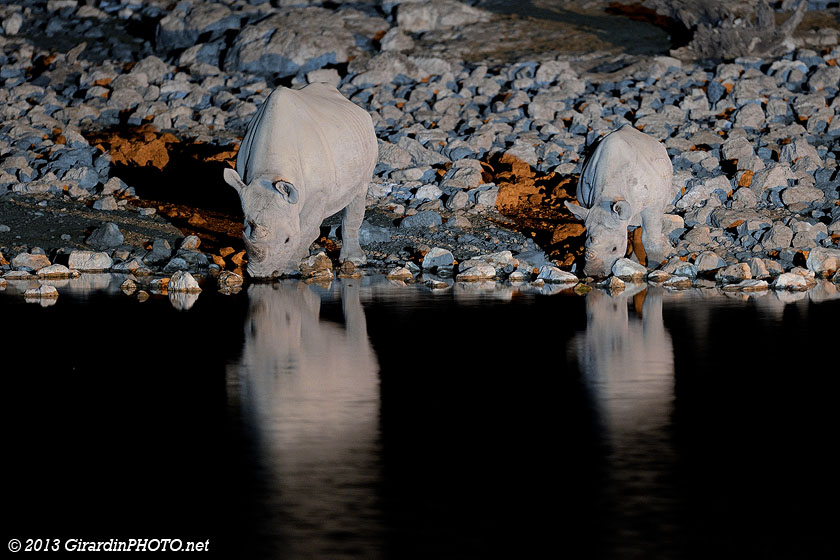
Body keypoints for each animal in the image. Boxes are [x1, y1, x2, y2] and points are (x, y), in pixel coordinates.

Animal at [223, 82, 378, 278]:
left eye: (287, 240)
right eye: (245, 232)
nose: (260, 275)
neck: (269, 172)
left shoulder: (318, 193)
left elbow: (305, 231)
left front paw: (290, 269)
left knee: (358, 193)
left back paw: (354, 261)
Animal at [565, 124, 675, 278]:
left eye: (614, 249)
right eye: (585, 245)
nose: (594, 274)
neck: (607, 195)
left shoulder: (652, 205)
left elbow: (650, 240)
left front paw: (655, 268)